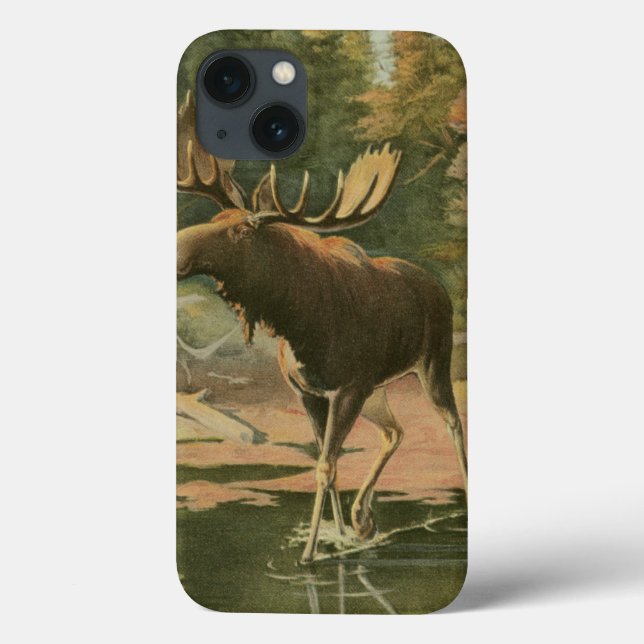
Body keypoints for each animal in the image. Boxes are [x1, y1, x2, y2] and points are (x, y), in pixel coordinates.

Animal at [176, 92, 467, 563]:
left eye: (241, 230)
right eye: (217, 220)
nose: (178, 248)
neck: (298, 323)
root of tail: (438, 287)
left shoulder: (347, 388)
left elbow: (326, 466)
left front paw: (310, 555)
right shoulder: (309, 392)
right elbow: (328, 465)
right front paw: (341, 534)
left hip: (432, 365)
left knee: (453, 425)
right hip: (378, 389)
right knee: (395, 430)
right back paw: (363, 517)